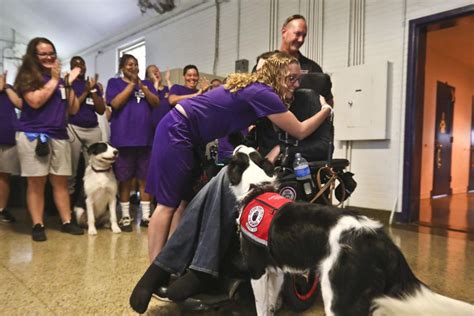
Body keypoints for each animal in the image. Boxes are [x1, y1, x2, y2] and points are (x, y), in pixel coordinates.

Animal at [228, 146, 472, 316]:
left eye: (238, 154)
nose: (236, 144)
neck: (256, 188)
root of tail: (378, 237)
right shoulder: (276, 270)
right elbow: (271, 303)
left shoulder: (257, 270)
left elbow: (261, 306)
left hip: (340, 299)